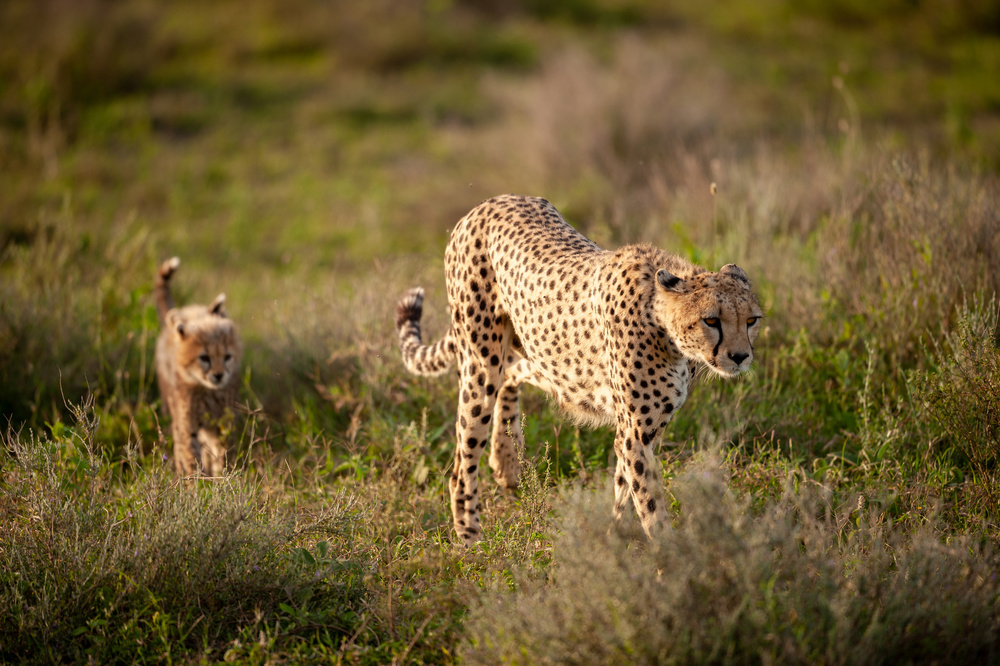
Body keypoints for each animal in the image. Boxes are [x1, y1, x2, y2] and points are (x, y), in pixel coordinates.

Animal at [394, 193, 760, 544]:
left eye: (751, 320)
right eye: (711, 320)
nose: (740, 356)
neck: (662, 318)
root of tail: (487, 204)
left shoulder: (638, 432)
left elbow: (625, 489)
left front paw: (615, 538)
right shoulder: (636, 434)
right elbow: (651, 505)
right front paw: (670, 554)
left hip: (538, 351)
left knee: (512, 373)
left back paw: (506, 461)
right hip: (480, 361)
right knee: (463, 461)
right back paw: (470, 540)